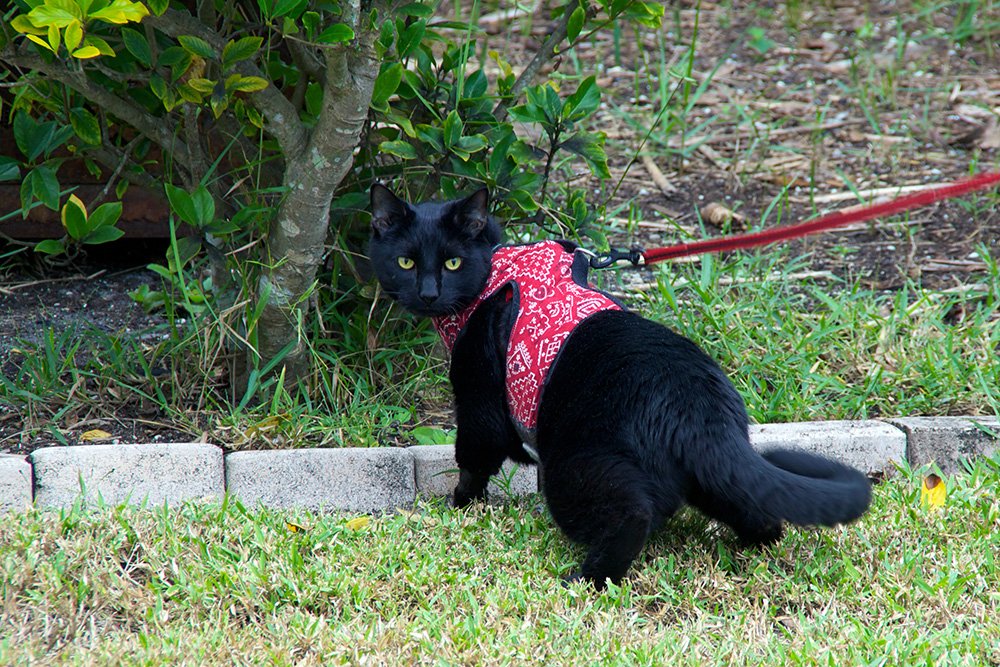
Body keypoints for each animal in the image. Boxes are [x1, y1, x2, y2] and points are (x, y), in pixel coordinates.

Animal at [372, 184, 872, 588]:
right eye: (406, 262)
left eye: (453, 262)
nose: (429, 293)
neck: (493, 269)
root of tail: (699, 409)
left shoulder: (478, 398)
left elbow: (473, 458)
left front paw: (459, 505)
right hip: (712, 477)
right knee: (761, 512)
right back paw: (749, 548)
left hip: (578, 465)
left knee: (632, 514)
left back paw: (585, 580)